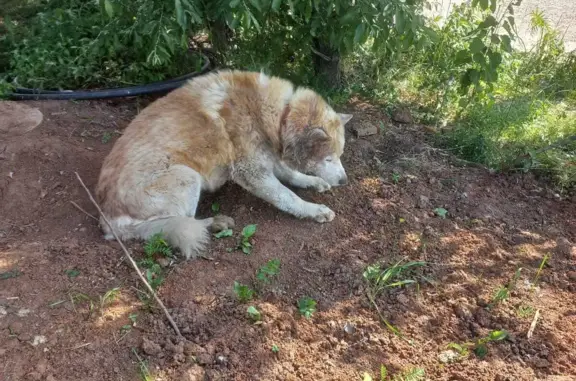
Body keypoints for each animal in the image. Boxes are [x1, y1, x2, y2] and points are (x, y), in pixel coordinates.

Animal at [95, 70, 352, 256]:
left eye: (340, 155)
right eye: (328, 158)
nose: (344, 180)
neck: (280, 115)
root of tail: (107, 221)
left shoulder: (269, 158)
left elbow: (292, 175)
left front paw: (313, 182)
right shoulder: (252, 172)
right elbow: (287, 197)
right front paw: (314, 210)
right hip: (187, 176)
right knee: (172, 224)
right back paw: (214, 223)